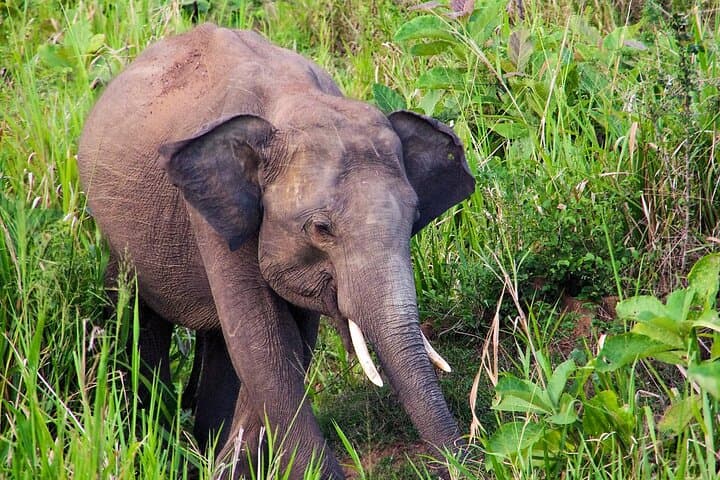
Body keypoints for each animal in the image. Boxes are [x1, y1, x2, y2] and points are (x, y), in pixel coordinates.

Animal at [78, 23, 475, 479]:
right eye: (321, 229)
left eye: (414, 220)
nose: (470, 462)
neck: (293, 102)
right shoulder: (213, 216)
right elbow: (264, 345)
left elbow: (284, 344)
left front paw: (234, 461)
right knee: (134, 313)